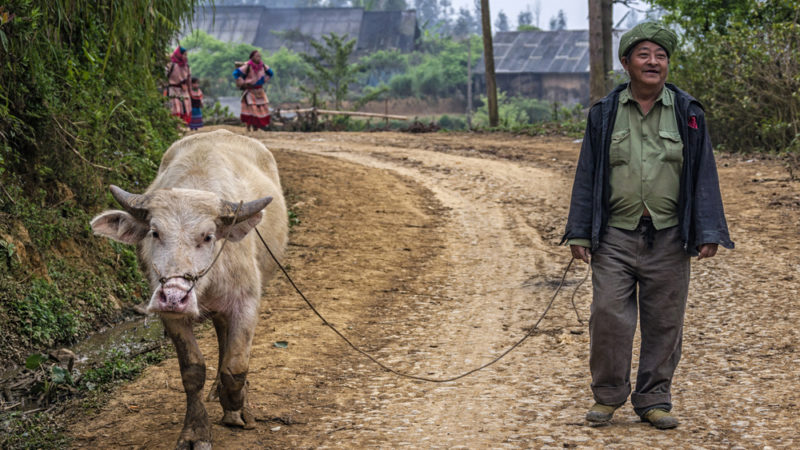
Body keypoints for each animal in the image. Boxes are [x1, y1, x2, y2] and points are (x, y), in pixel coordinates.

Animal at [90, 128, 288, 448]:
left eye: (208, 236)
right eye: (155, 232)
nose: (174, 296)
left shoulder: (246, 302)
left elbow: (236, 367)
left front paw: (237, 408)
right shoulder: (171, 316)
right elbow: (192, 371)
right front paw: (196, 431)